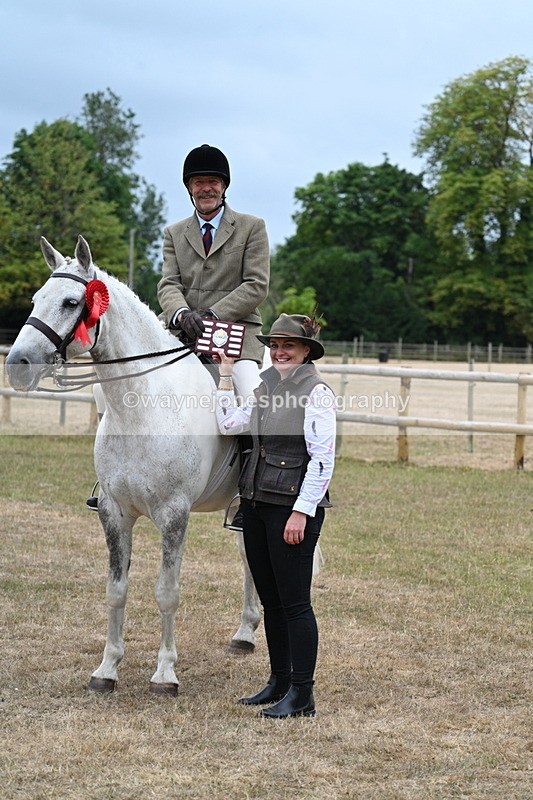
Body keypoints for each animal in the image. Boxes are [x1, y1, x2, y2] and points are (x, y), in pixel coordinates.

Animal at [5, 235, 262, 695]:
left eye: (72, 302)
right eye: (36, 299)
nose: (18, 365)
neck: (142, 408)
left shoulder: (174, 515)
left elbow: (166, 593)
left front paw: (165, 673)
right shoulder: (114, 512)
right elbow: (116, 590)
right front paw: (107, 669)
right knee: (249, 555)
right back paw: (244, 634)